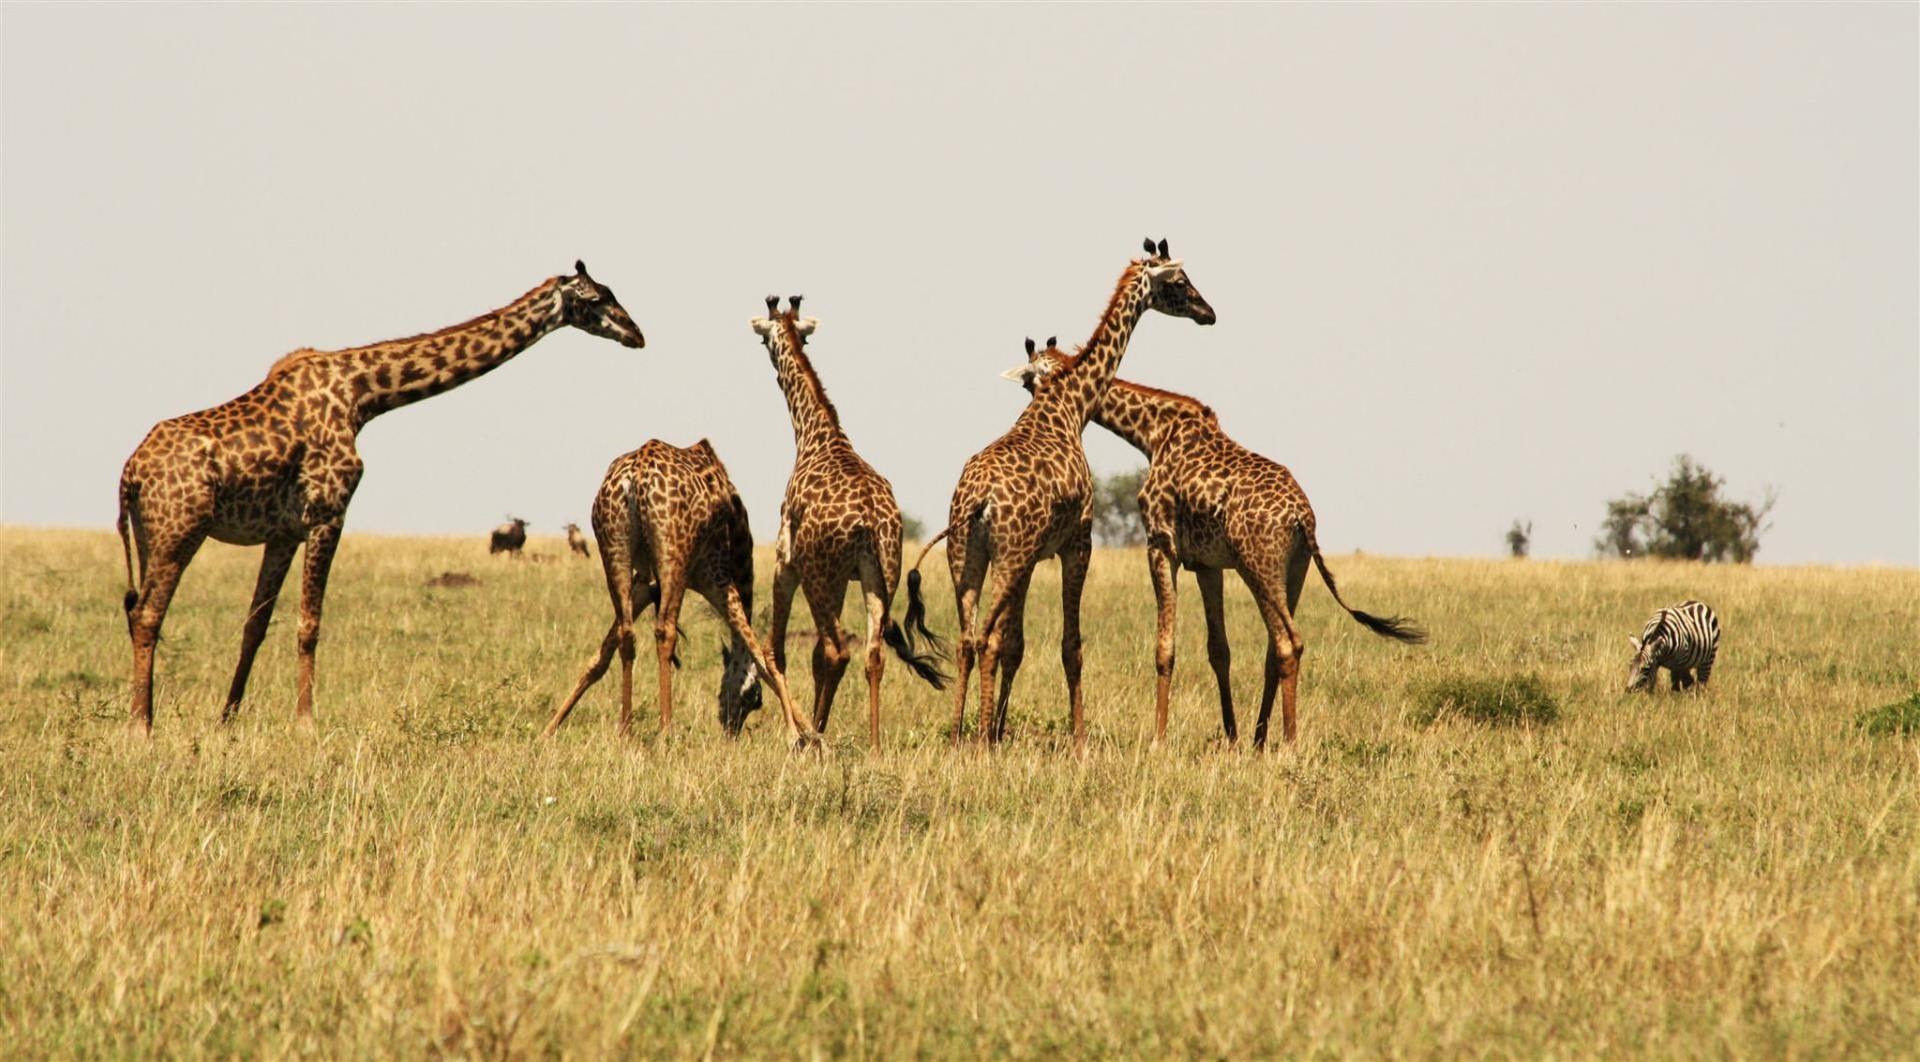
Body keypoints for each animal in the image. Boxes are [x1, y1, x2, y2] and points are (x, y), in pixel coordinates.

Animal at [118, 261, 645, 733]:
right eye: (597, 298)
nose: (636, 333)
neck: (363, 395)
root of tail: (129, 475)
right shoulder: (329, 512)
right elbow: (309, 622)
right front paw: (306, 724)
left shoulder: (284, 530)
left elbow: (255, 624)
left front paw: (226, 720)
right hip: (179, 530)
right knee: (147, 614)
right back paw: (141, 726)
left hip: (148, 536)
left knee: (138, 610)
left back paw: (146, 714)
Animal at [541, 439, 817, 745]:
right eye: (753, 699)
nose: (730, 731)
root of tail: (636, 478)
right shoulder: (714, 576)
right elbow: (759, 652)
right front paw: (803, 734)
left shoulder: (645, 582)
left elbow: (603, 653)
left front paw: (549, 729)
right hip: (674, 558)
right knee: (665, 630)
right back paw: (665, 730)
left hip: (613, 549)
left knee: (627, 632)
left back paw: (625, 730)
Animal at [744, 295, 948, 745]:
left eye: (765, 337)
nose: (770, 364)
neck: (815, 435)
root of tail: (871, 522)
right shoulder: (848, 577)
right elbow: (818, 655)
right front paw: (811, 730)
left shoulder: (787, 562)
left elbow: (774, 649)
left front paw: (796, 735)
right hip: (881, 575)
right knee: (871, 653)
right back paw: (870, 743)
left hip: (821, 575)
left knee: (837, 648)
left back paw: (816, 737)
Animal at [910, 240, 1213, 748]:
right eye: (1178, 280)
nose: (1207, 312)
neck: (1070, 404)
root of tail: (977, 502)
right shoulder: (1079, 541)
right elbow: (1071, 647)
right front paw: (1080, 740)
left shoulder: (1035, 556)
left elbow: (1018, 645)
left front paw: (1000, 730)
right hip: (1007, 554)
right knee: (986, 639)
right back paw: (981, 745)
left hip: (965, 556)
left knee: (967, 640)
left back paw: (957, 738)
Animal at [1006, 339, 1428, 745]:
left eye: (1032, 378)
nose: (1035, 409)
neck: (1153, 434)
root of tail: (1302, 518)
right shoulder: (1208, 564)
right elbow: (1218, 649)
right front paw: (1231, 736)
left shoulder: (1160, 545)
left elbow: (1165, 648)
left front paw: (1157, 740)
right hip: (1295, 569)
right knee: (1275, 648)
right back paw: (1259, 739)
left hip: (1259, 566)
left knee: (1289, 641)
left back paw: (1289, 742)